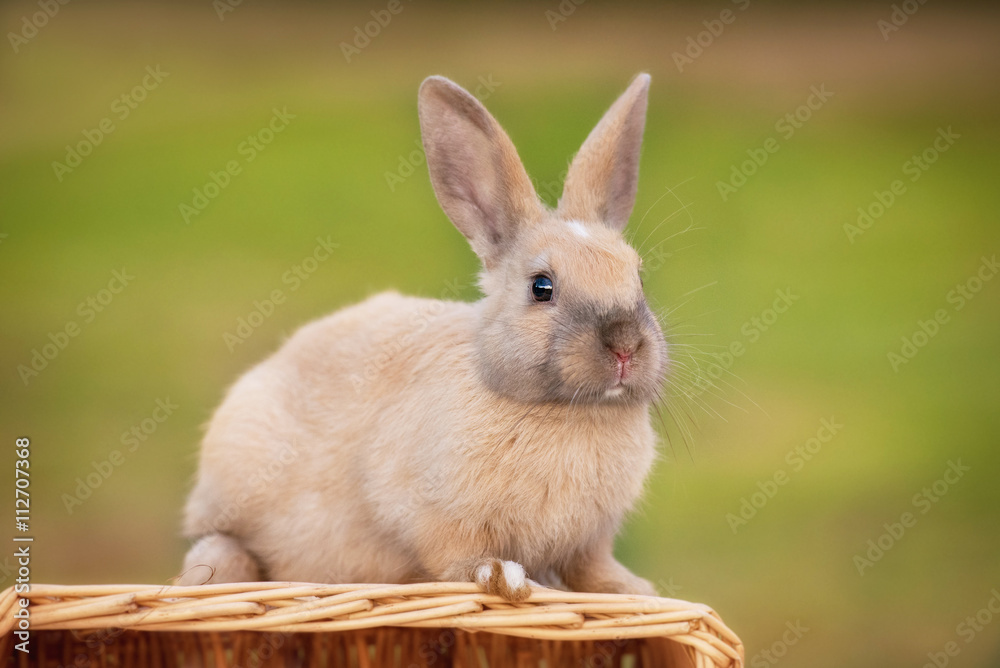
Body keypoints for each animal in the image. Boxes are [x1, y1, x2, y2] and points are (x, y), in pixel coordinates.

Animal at [178, 73, 667, 601]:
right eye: (542, 287)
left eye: (639, 278)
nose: (625, 346)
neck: (569, 410)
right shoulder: (431, 515)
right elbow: (457, 558)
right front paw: (502, 576)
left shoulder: (590, 541)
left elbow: (592, 568)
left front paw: (636, 590)